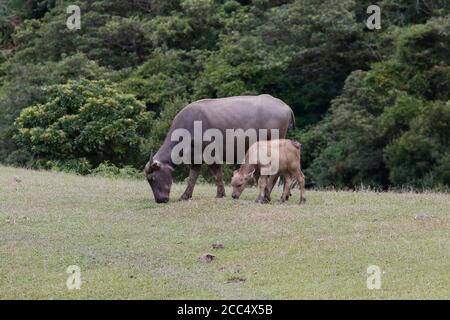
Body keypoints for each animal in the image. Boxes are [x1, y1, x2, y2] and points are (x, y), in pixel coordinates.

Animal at [144, 94, 296, 202]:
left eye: (152, 178)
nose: (160, 200)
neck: (189, 127)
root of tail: (285, 106)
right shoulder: (195, 158)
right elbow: (192, 177)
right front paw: (185, 196)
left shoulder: (209, 154)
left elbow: (217, 174)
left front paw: (220, 194)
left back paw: (268, 195)